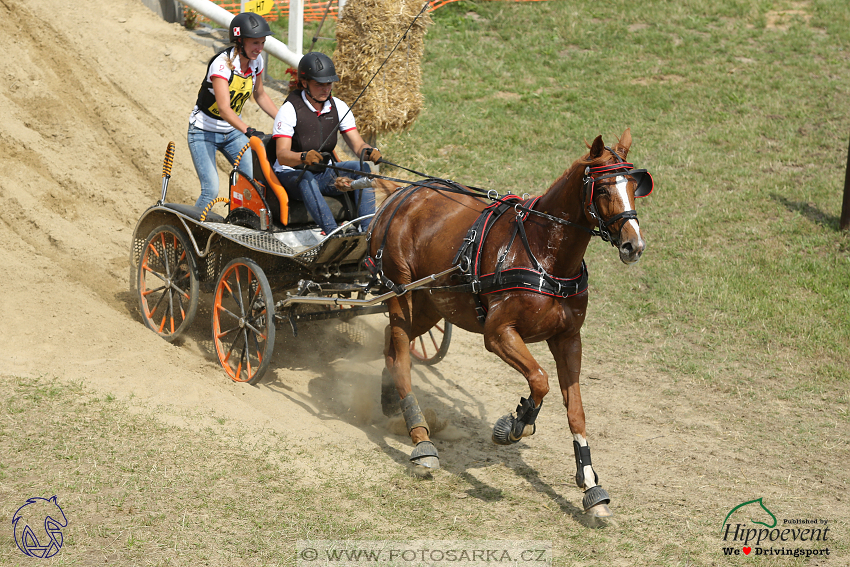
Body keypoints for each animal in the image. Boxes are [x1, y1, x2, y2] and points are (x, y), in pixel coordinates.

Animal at [368, 130, 652, 520]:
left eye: (634, 185)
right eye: (604, 189)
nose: (633, 245)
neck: (545, 254)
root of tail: (400, 195)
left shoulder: (568, 339)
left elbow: (575, 411)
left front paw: (591, 485)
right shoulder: (498, 334)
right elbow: (539, 379)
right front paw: (516, 424)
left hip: (431, 305)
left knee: (391, 345)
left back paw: (391, 403)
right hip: (400, 294)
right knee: (399, 353)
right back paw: (420, 439)